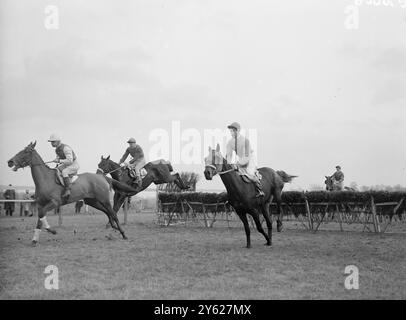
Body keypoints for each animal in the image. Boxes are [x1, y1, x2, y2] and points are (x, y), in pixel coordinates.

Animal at [6, 142, 138, 245]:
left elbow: (42, 215)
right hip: (92, 201)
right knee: (107, 212)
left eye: (26, 151)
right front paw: (34, 240)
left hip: (104, 199)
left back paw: (123, 233)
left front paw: (51, 230)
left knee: (113, 213)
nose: (10, 162)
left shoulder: (54, 203)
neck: (45, 179)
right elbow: (40, 219)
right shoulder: (40, 204)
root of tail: (102, 177)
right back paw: (113, 226)